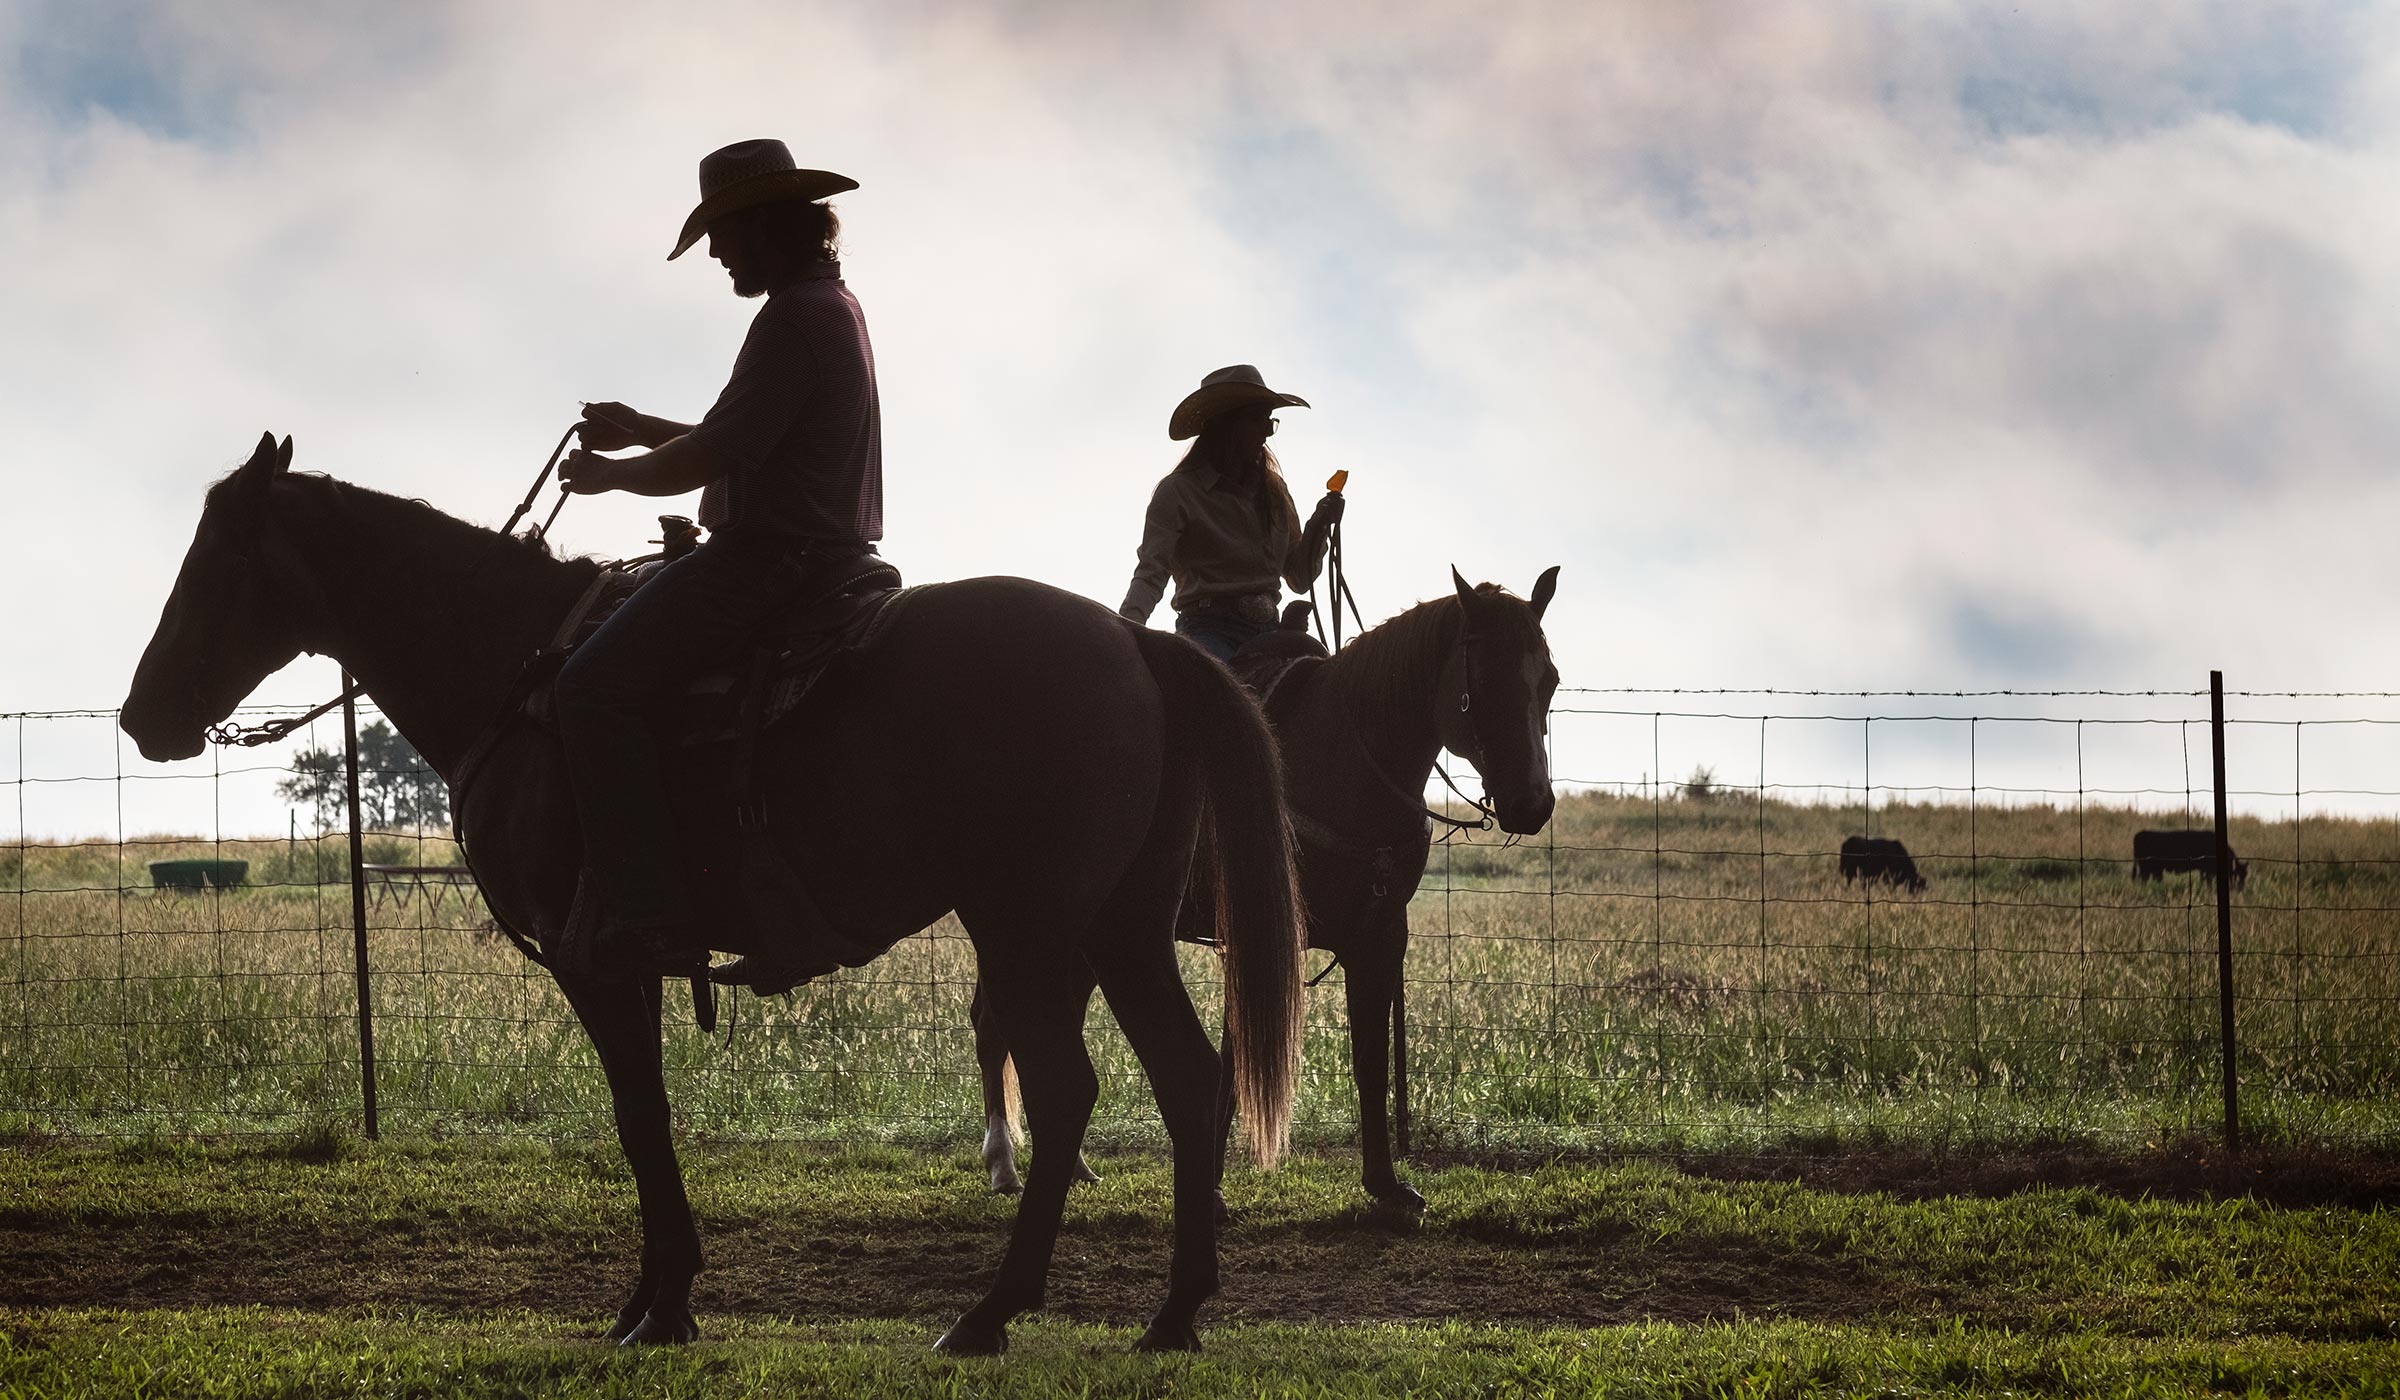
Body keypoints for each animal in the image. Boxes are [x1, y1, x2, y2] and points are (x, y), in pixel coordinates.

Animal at [121, 429, 1305, 1354]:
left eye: (215, 559)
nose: (143, 714)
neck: (523, 675)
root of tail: (1134, 642)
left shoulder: (599, 960)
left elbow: (640, 1118)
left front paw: (663, 1305)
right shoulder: (627, 966)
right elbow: (642, 1120)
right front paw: (653, 1299)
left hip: (1026, 930)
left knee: (1065, 1091)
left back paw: (989, 1315)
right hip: (1120, 930)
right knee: (1189, 1077)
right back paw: (1173, 1313)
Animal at [964, 569, 1564, 1215]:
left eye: (1550, 679)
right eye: (1484, 677)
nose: (1532, 804)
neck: (1341, 763)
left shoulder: (1378, 940)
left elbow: (1369, 1062)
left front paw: (1384, 1183)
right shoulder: (1256, 933)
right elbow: (1235, 1065)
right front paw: (1210, 1187)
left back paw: (1072, 1165)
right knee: (992, 1025)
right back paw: (1002, 1164)